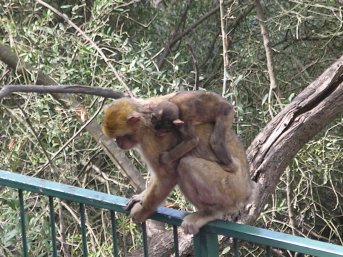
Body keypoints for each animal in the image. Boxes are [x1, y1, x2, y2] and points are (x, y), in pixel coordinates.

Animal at [101, 93, 253, 233]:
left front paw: (142, 211)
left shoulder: (153, 140)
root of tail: (247, 190)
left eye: (121, 136)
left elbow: (167, 176)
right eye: (117, 138)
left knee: (186, 164)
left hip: (230, 188)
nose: (119, 143)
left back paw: (211, 213)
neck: (145, 124)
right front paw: (141, 196)